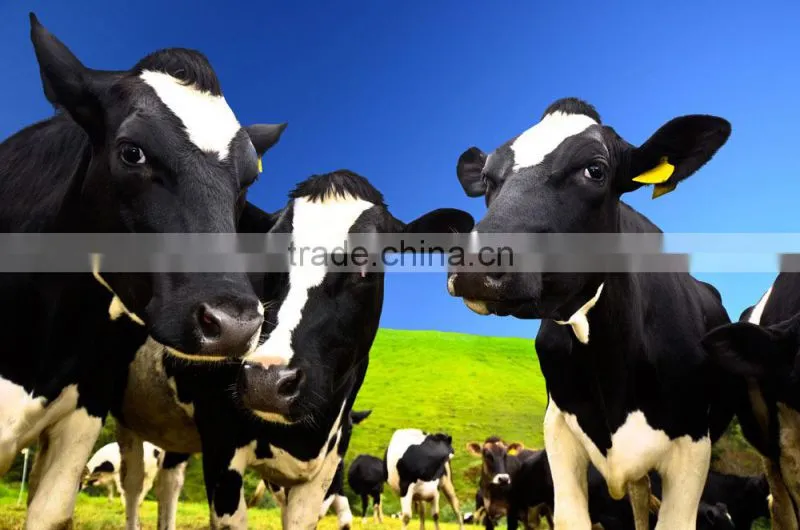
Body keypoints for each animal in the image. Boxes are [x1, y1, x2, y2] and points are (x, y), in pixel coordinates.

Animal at [106, 170, 474, 530]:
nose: (267, 380)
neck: (303, 436)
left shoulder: (328, 462)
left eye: (365, 263)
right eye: (267, 257)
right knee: (134, 485)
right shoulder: (221, 441)